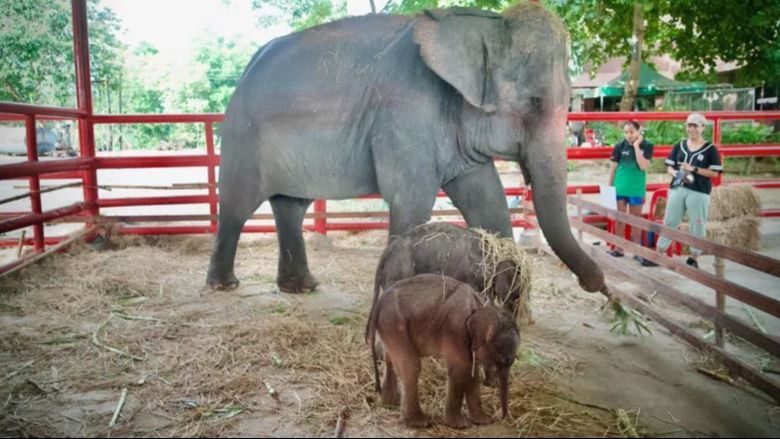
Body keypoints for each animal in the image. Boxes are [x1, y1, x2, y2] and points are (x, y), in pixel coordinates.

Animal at [207, 2, 608, 296]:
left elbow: (487, 198)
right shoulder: (405, 115)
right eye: (535, 103)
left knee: (290, 206)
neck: (484, 21)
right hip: (243, 137)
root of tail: (248, 67)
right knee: (238, 206)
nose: (599, 287)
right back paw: (225, 285)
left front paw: (505, 303)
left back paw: (302, 288)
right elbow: (411, 200)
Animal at [368, 276, 520, 430]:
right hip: (394, 323)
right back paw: (420, 422)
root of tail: (379, 302)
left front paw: (484, 421)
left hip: (388, 326)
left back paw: (391, 404)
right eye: (504, 360)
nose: (500, 418)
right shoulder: (456, 328)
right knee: (411, 366)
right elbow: (461, 367)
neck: (483, 306)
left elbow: (472, 372)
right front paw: (460, 425)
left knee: (390, 360)